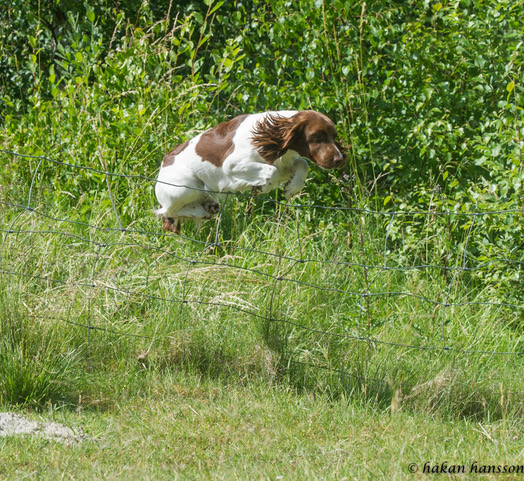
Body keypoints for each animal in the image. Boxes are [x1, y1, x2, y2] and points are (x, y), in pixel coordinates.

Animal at [156, 109, 344, 232]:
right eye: (317, 136)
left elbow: (302, 164)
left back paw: (207, 207)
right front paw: (260, 188)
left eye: (334, 136)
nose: (339, 159)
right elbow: (271, 172)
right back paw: (201, 211)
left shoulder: (281, 161)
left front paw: (291, 188)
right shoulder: (232, 164)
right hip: (185, 188)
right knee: (166, 212)